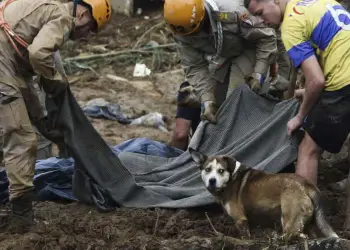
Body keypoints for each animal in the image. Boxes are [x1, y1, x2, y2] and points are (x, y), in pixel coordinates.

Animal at [189, 148, 340, 240]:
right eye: (207, 169)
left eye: (221, 171)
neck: (231, 178)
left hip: (288, 217)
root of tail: (307, 184)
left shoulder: (241, 219)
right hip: (308, 220)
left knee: (293, 234)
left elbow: (245, 236)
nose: (212, 181)